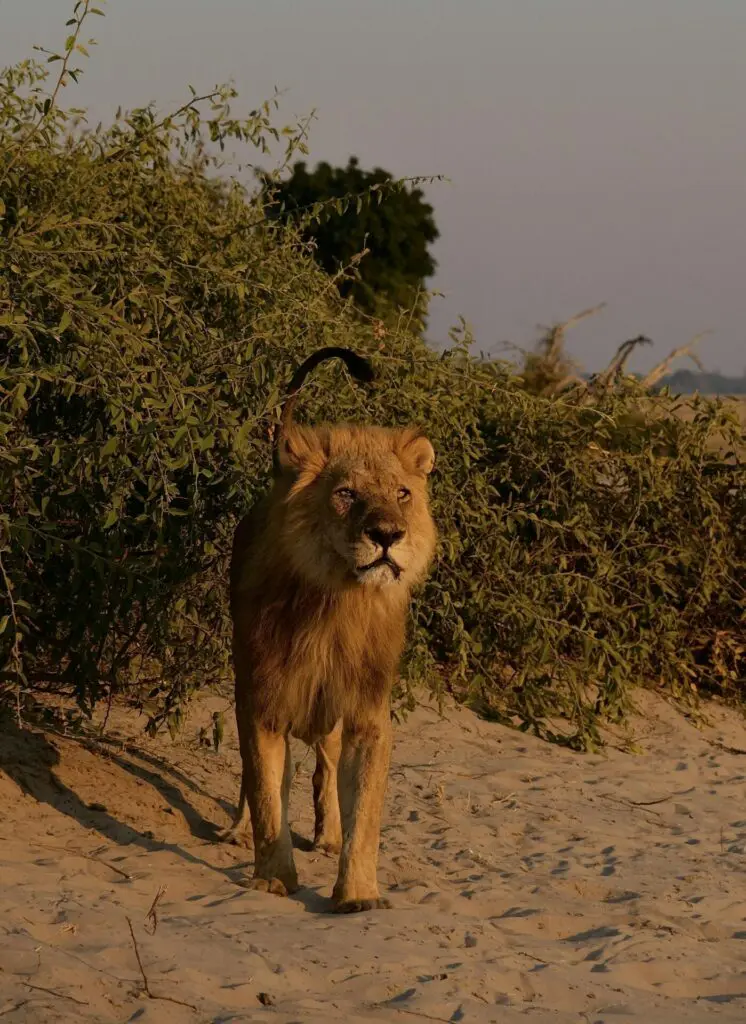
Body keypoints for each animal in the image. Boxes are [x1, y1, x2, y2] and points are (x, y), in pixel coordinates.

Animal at [220, 346, 437, 913]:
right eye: (346, 493)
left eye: (402, 493)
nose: (387, 535)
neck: (338, 603)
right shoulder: (263, 699)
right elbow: (267, 791)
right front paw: (274, 879)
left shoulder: (365, 711)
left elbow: (365, 813)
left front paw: (357, 894)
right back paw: (237, 830)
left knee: (325, 765)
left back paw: (327, 835)